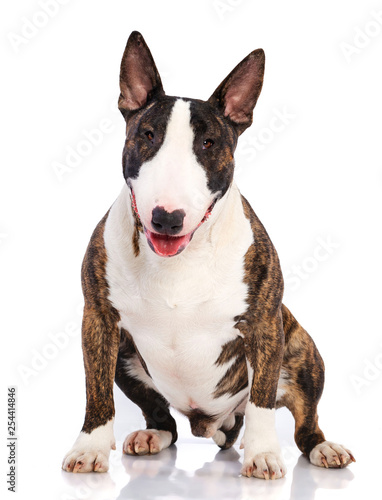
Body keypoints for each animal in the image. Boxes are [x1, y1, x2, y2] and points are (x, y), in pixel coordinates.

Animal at [62, 32, 356, 480]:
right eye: (148, 135)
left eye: (208, 143)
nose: (167, 218)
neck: (178, 261)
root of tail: (212, 423)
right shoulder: (98, 319)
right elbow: (96, 392)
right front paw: (90, 448)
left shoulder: (264, 324)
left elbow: (262, 400)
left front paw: (263, 454)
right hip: (126, 356)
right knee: (163, 419)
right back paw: (151, 436)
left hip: (304, 353)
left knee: (304, 424)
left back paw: (322, 448)